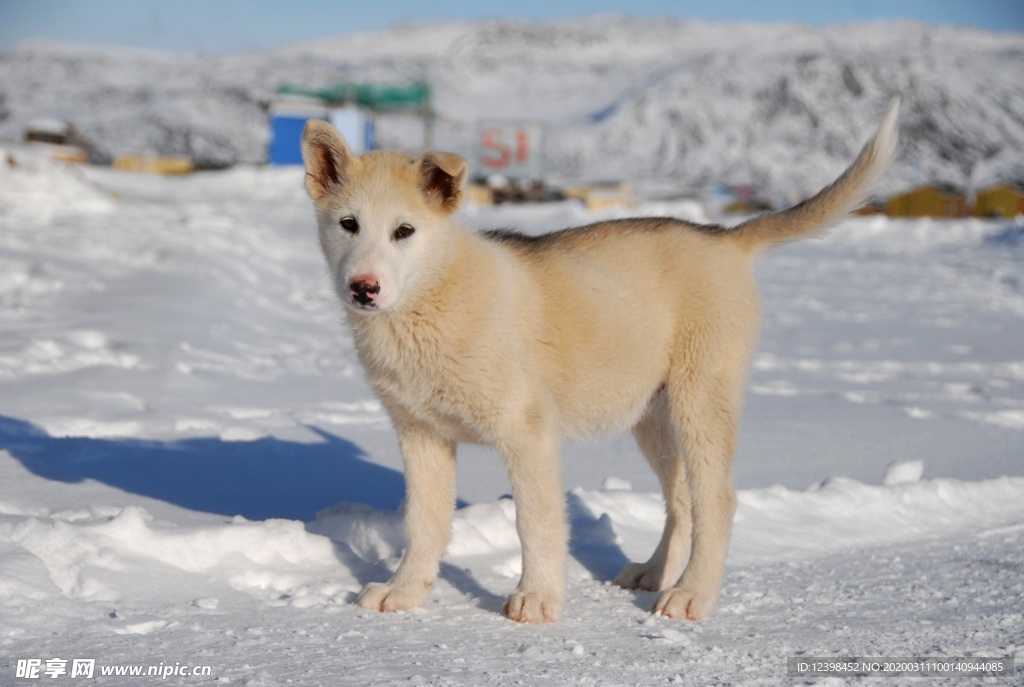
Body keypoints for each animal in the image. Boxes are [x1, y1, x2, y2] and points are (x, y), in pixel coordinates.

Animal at [301, 100, 897, 622]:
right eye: (349, 224)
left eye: (404, 231)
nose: (364, 289)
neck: (434, 298)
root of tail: (726, 239)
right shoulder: (421, 435)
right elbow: (423, 524)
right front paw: (404, 592)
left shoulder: (527, 432)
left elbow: (535, 521)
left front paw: (538, 599)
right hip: (653, 417)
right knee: (681, 500)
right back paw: (656, 572)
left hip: (700, 402)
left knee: (716, 501)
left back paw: (691, 595)